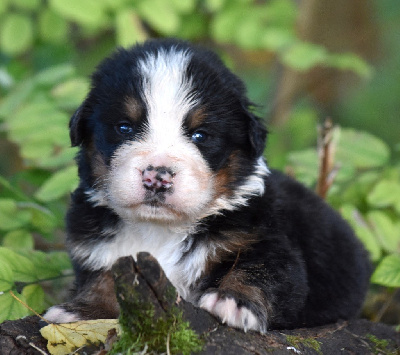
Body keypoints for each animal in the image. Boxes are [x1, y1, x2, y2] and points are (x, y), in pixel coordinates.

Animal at [42, 39, 370, 334]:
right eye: (125, 127)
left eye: (200, 135)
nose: (157, 176)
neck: (159, 231)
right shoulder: (98, 247)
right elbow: (104, 277)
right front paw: (81, 311)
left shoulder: (265, 241)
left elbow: (257, 270)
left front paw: (233, 302)